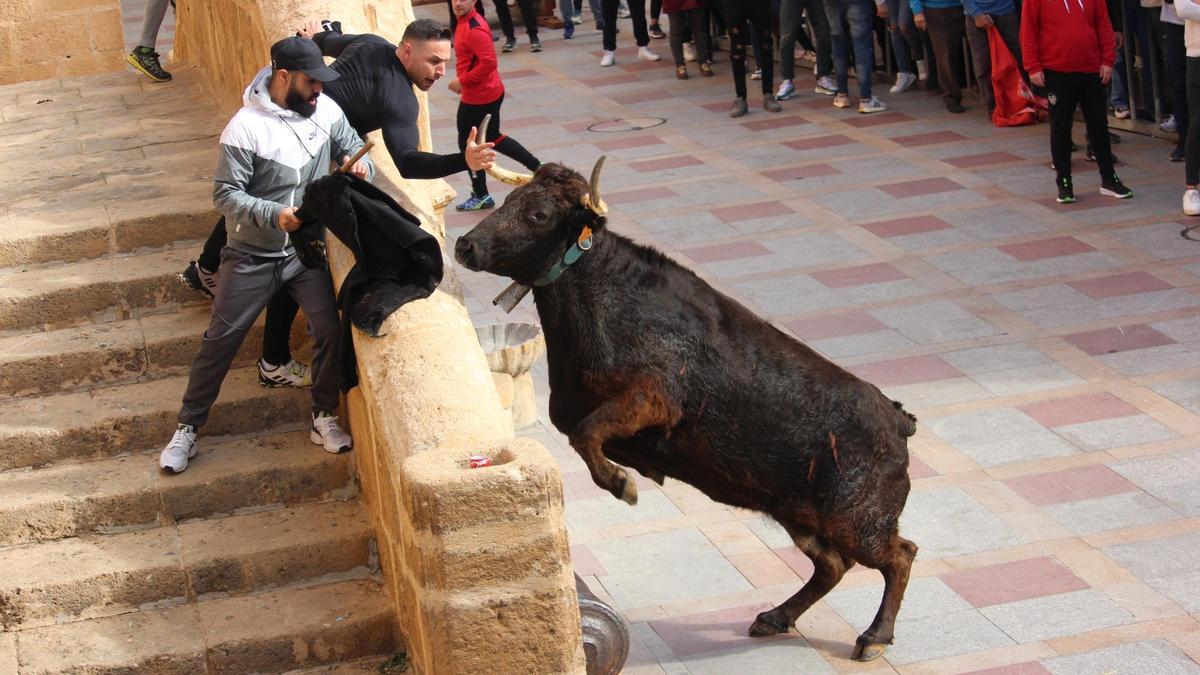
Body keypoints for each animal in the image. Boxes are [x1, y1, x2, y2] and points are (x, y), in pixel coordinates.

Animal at [456, 158, 916, 658]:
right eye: (509, 200)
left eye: (539, 214)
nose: (464, 245)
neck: (603, 292)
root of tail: (898, 419)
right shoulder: (576, 409)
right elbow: (582, 433)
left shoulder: (653, 399)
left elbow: (588, 433)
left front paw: (623, 484)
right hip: (798, 514)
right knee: (832, 566)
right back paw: (776, 617)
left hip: (857, 522)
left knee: (900, 555)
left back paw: (874, 637)